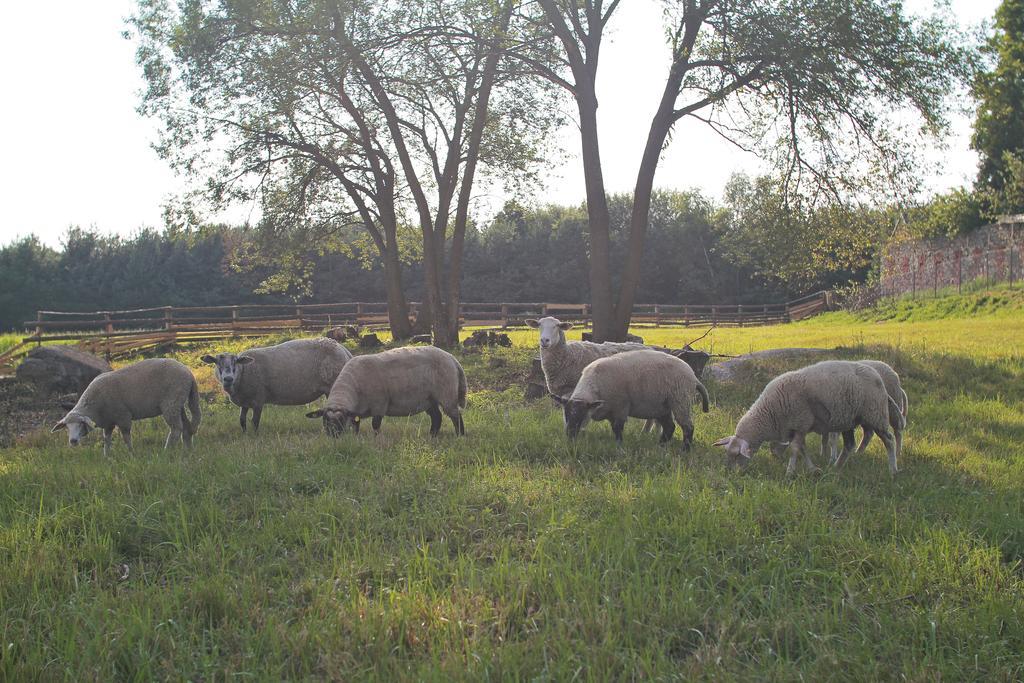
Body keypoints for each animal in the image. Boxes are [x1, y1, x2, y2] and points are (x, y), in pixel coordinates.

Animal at [49, 356, 200, 456]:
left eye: (80, 424)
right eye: (67, 427)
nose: (73, 441)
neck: (93, 405)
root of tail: (189, 373)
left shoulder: (123, 416)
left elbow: (126, 437)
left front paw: (131, 453)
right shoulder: (108, 421)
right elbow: (106, 439)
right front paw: (106, 456)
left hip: (171, 403)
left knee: (176, 428)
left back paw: (167, 450)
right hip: (177, 403)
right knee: (186, 427)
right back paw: (188, 449)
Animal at [201, 339, 354, 436]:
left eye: (235, 362)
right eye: (217, 363)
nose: (228, 378)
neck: (244, 372)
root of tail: (343, 349)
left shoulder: (258, 399)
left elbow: (255, 421)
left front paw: (255, 436)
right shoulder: (245, 401)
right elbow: (242, 421)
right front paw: (244, 435)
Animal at [303, 348, 464, 438]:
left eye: (341, 420)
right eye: (324, 419)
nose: (333, 437)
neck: (352, 388)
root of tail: (452, 358)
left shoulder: (379, 405)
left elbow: (375, 425)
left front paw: (376, 439)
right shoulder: (356, 410)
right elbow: (356, 424)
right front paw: (354, 438)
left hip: (447, 394)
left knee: (455, 416)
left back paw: (460, 436)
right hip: (429, 398)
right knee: (437, 417)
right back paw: (432, 436)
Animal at [552, 352, 712, 448]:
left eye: (582, 416)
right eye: (566, 415)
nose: (570, 435)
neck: (593, 387)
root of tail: (694, 377)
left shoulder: (621, 407)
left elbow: (617, 429)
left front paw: (619, 446)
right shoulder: (611, 411)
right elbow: (614, 428)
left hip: (680, 400)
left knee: (688, 427)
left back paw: (685, 450)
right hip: (662, 406)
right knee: (669, 427)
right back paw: (660, 446)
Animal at [712, 360, 905, 479]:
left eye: (737, 455)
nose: (731, 473)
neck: (770, 412)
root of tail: (878, 377)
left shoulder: (800, 423)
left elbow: (795, 449)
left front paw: (789, 473)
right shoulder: (796, 428)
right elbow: (803, 449)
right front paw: (813, 469)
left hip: (875, 414)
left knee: (889, 439)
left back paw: (893, 469)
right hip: (849, 419)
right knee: (849, 445)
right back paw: (835, 468)